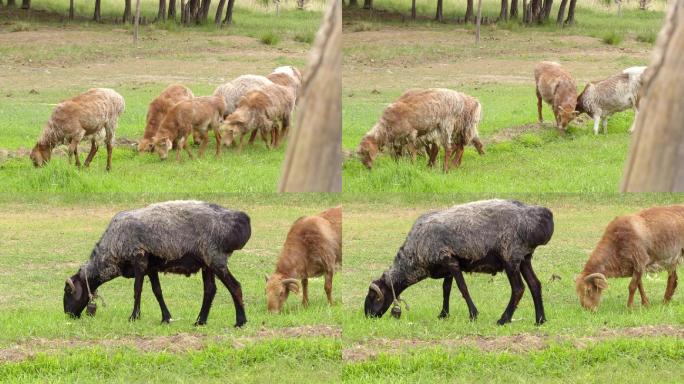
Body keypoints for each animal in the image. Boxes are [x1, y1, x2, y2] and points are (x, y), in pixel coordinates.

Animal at [63, 201, 251, 328]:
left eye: (68, 292)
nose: (68, 315)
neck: (112, 248)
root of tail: (241, 220)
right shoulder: (151, 268)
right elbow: (157, 292)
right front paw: (166, 318)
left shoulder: (139, 259)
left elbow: (137, 290)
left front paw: (134, 317)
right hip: (207, 263)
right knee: (210, 290)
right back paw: (200, 321)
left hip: (215, 258)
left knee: (235, 286)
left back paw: (240, 321)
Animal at [356, 88, 484, 172]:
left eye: (366, 153)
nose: (368, 168)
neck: (386, 127)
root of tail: (460, 98)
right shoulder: (398, 140)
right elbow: (398, 154)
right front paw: (398, 165)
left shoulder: (411, 134)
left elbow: (412, 152)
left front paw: (413, 165)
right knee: (458, 147)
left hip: (448, 125)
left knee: (450, 148)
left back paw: (446, 169)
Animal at [366, 200, 552, 326]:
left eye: (374, 296)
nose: (367, 316)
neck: (414, 255)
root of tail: (542, 217)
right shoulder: (447, 266)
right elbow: (446, 289)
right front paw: (443, 314)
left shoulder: (450, 261)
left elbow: (463, 288)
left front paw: (473, 314)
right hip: (524, 258)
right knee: (535, 284)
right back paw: (540, 320)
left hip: (510, 257)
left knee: (518, 289)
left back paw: (503, 319)